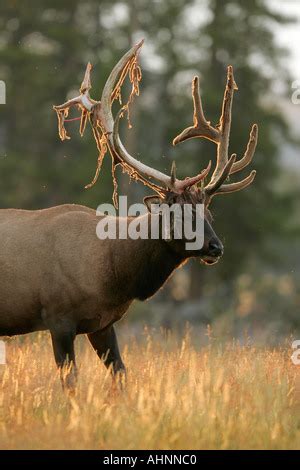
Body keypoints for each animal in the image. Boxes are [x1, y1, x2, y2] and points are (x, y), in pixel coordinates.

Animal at [0, 40, 258, 388]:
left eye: (209, 216)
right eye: (178, 215)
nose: (216, 247)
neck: (114, 273)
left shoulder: (102, 324)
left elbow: (121, 375)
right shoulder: (58, 317)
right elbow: (71, 382)